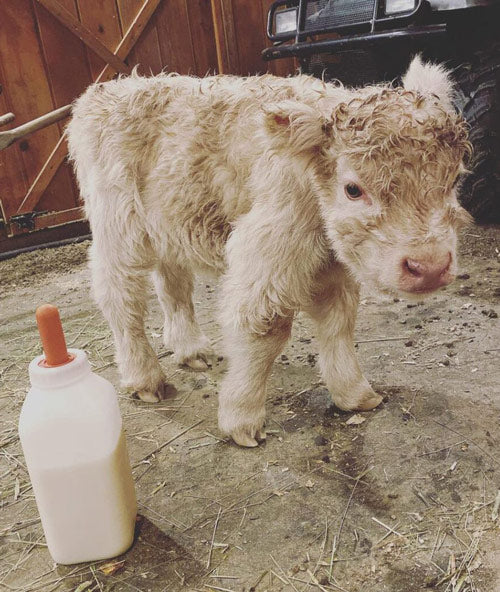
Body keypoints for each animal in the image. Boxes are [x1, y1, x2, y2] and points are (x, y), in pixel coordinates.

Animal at [68, 57, 470, 446]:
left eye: (453, 180)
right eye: (353, 189)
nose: (429, 266)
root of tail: (105, 91)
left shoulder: (331, 265)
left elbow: (339, 323)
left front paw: (354, 393)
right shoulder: (267, 251)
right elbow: (266, 326)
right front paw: (241, 417)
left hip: (169, 222)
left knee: (173, 284)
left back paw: (190, 349)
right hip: (119, 228)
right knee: (122, 299)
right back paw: (144, 377)